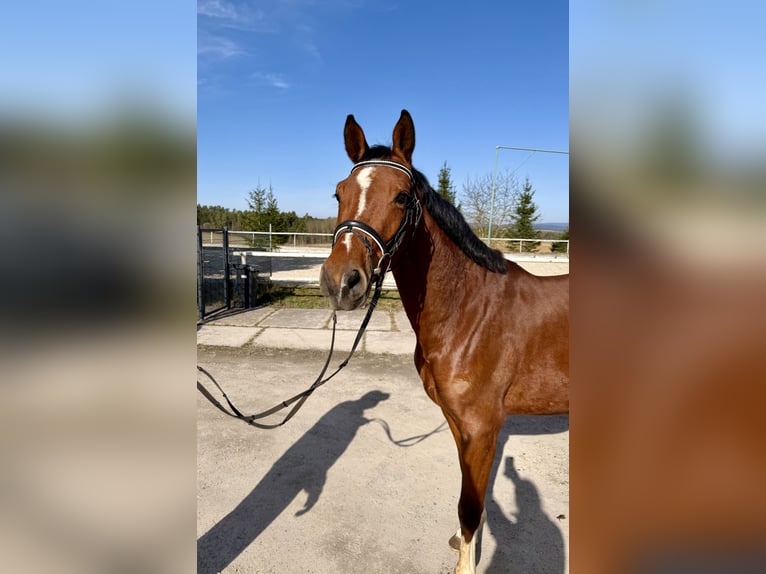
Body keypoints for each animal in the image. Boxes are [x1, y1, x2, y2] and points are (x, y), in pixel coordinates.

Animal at [320, 110, 569, 574]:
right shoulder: (458, 425)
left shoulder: (481, 428)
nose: (340, 283)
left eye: (402, 197)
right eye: (339, 192)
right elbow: (471, 498)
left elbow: (470, 505)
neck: (469, 311)